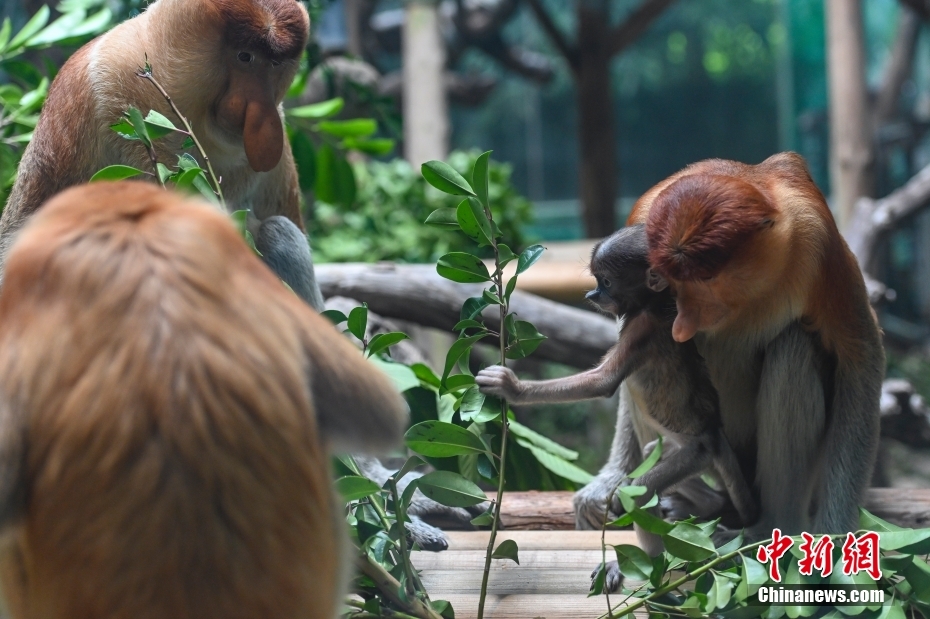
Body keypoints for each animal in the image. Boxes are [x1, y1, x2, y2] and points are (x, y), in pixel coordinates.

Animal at [478, 228, 752, 544]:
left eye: (606, 282)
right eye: (596, 281)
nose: (591, 294)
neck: (654, 303)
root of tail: (713, 431)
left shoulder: (641, 327)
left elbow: (603, 383)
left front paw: (512, 388)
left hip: (697, 452)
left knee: (642, 492)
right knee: (652, 452)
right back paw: (710, 503)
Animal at [572, 154, 884, 544]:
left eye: (705, 280)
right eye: (666, 283)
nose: (683, 323)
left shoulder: (816, 233)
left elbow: (860, 356)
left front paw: (836, 535)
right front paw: (606, 483)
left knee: (794, 346)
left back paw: (767, 525)